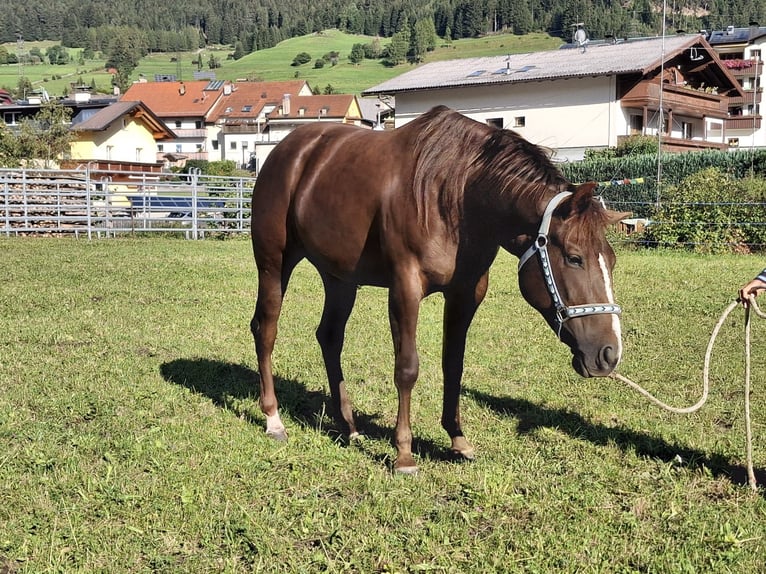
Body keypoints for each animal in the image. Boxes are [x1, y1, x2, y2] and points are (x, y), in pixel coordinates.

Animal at [250, 105, 628, 473]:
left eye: (611, 261)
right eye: (575, 258)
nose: (609, 354)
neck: (457, 196)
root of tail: (286, 150)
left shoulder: (467, 292)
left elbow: (453, 365)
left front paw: (458, 439)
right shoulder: (405, 288)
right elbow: (407, 368)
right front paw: (404, 454)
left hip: (339, 278)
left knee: (329, 337)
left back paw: (348, 426)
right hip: (273, 264)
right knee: (265, 329)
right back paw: (274, 419)